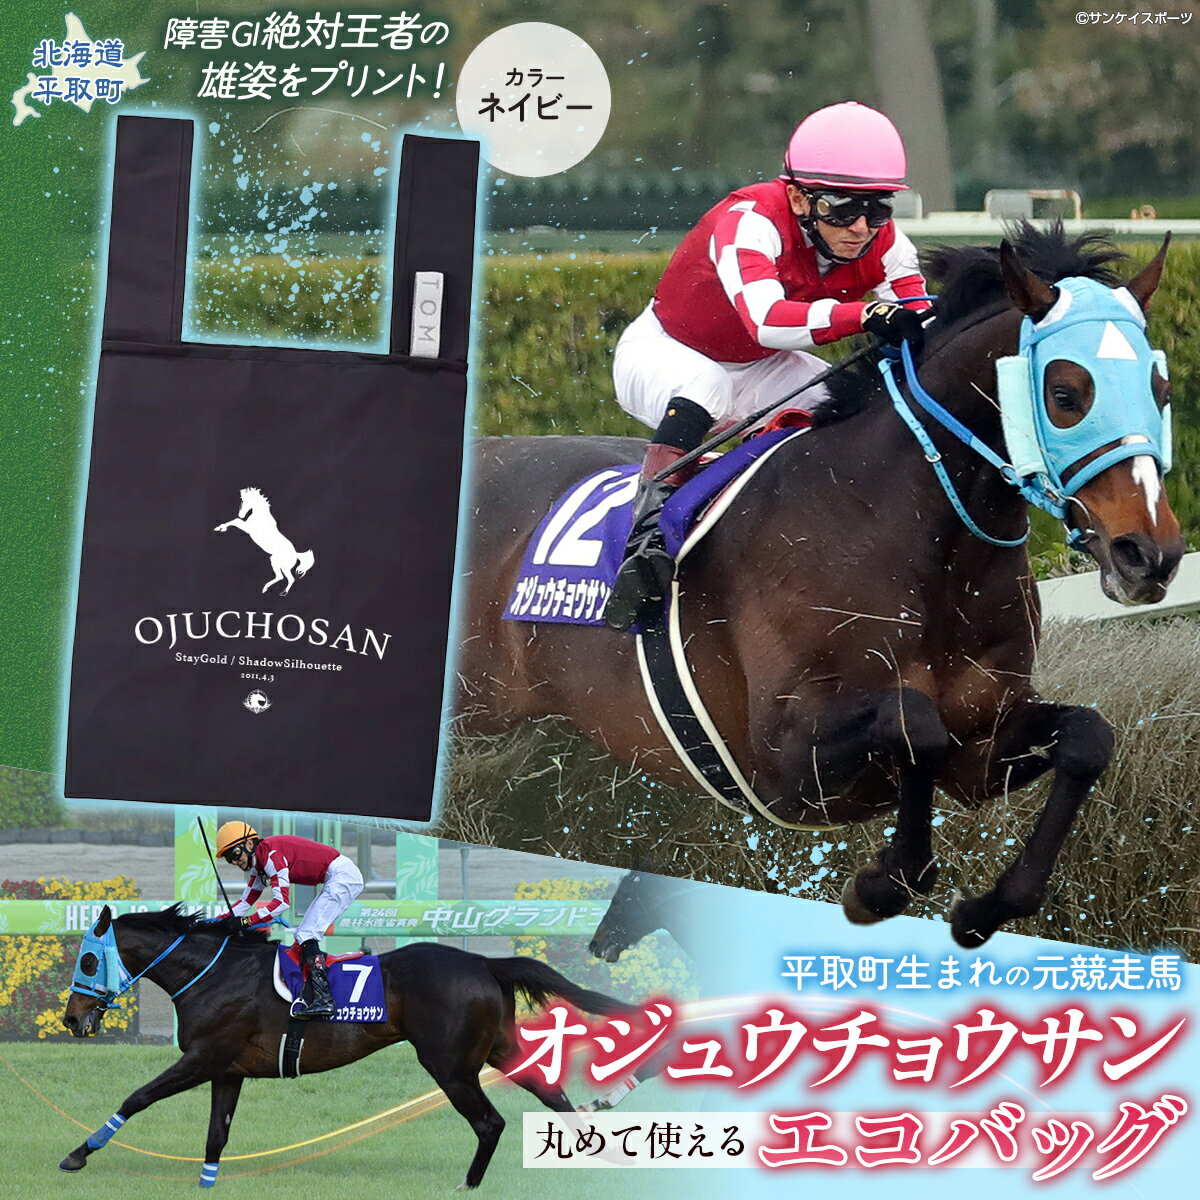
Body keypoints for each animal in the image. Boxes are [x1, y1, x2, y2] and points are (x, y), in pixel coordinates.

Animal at [60, 905, 634, 1189]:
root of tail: (483, 962)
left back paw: (468, 1186)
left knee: (489, 1122)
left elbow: (137, 1097)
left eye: (87, 959)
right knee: (555, 1096)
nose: (70, 1019)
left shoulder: (203, 1058)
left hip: (450, 1065)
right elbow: (216, 1135)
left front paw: (77, 1155)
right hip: (500, 1049)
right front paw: (206, 1184)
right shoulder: (228, 1069)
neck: (213, 973)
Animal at [457, 224, 1181, 947]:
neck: (902, 530)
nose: (1150, 555)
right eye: (1067, 395)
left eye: (1161, 389)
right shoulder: (781, 764)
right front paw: (884, 882)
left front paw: (987, 906)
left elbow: (1086, 738)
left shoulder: (980, 748)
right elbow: (913, 722)